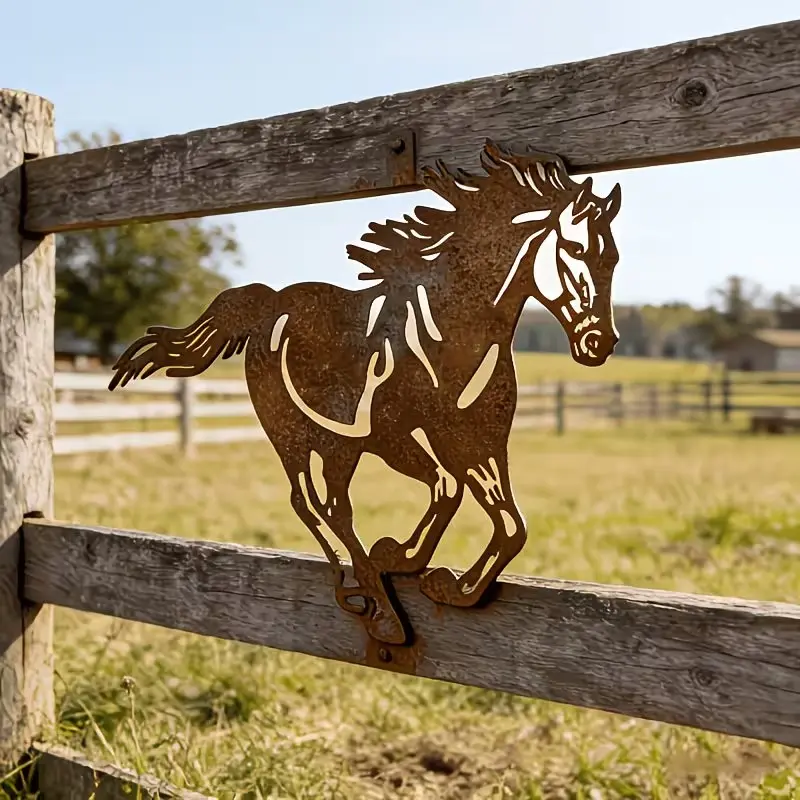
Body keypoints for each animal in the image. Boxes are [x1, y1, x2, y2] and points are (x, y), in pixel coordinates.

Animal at [108, 139, 622, 647]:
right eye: (574, 247)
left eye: (612, 257)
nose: (599, 343)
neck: (454, 330)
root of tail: (269, 303)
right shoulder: (394, 436)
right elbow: (448, 487)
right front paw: (402, 557)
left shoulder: (479, 439)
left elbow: (509, 523)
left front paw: (448, 584)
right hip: (291, 433)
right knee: (310, 503)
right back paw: (376, 608)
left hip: (339, 443)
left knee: (333, 505)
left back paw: (365, 592)